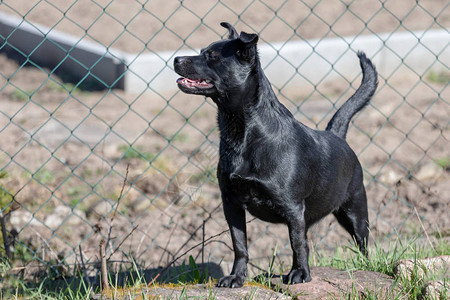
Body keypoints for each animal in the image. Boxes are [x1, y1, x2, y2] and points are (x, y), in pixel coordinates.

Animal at [174, 22, 378, 288]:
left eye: (212, 57)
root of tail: (337, 135)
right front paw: (237, 277)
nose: (176, 59)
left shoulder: (292, 207)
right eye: (201, 52)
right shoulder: (231, 204)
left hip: (355, 210)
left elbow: (297, 244)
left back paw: (364, 266)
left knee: (361, 241)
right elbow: (240, 245)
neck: (245, 133)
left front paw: (300, 274)